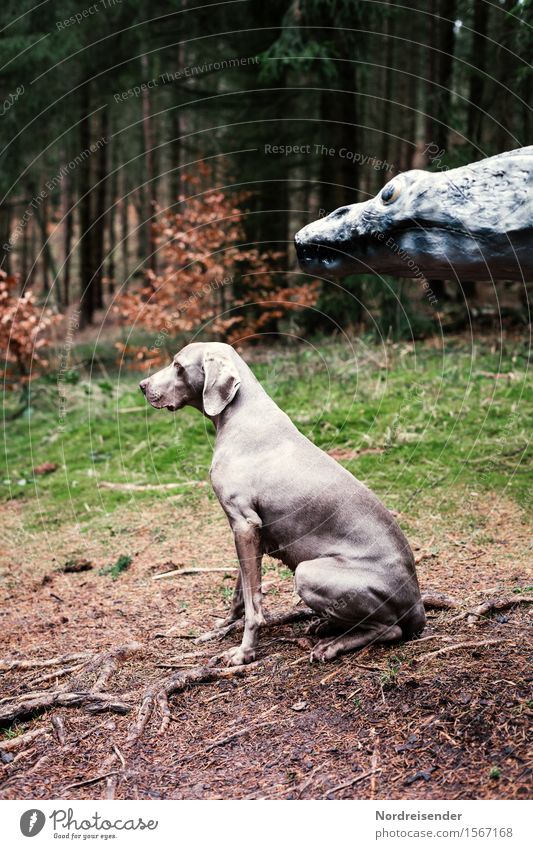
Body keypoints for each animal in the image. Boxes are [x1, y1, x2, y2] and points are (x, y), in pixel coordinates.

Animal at [139, 342, 426, 664]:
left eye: (178, 366)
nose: (142, 386)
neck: (240, 413)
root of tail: (417, 605)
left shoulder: (244, 524)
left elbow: (253, 603)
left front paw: (244, 651)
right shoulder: (249, 532)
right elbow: (242, 592)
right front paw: (223, 627)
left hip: (308, 572)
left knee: (389, 628)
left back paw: (332, 645)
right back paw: (325, 626)